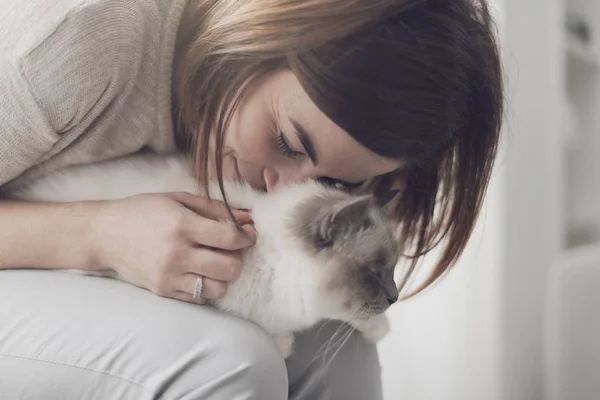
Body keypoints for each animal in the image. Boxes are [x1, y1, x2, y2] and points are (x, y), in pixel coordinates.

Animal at [7, 152, 398, 356]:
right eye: (377, 273)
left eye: (392, 271)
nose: (395, 298)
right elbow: (286, 334)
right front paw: (285, 346)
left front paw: (377, 328)